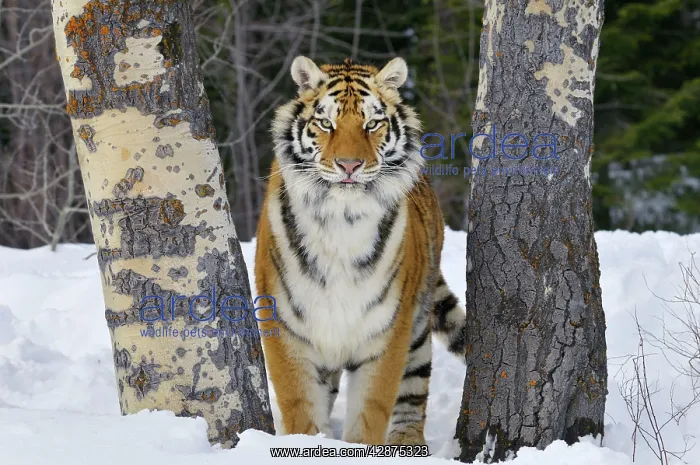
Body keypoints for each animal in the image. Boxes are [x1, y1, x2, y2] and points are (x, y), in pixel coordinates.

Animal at [254, 55, 467, 447]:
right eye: (326, 123)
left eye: (372, 124)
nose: (349, 166)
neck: (343, 221)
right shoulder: (285, 327)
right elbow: (300, 406)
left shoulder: (386, 331)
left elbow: (371, 412)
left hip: (416, 327)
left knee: (414, 389)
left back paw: (406, 442)